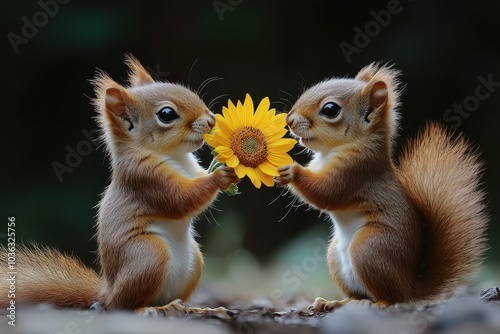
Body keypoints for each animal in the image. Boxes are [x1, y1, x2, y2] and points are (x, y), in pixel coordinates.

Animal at [0, 54, 238, 316]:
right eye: (167, 114)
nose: (211, 121)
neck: (174, 156)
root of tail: (107, 292)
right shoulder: (145, 178)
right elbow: (181, 200)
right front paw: (220, 176)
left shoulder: (192, 169)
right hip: (148, 255)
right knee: (122, 305)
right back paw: (152, 309)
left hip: (193, 262)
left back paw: (197, 309)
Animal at [274, 64, 488, 310]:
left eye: (330, 109)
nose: (289, 120)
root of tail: (408, 286)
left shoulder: (357, 170)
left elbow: (326, 192)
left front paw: (291, 171)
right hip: (335, 256)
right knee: (359, 294)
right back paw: (335, 302)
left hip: (369, 248)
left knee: (389, 297)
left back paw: (375, 304)